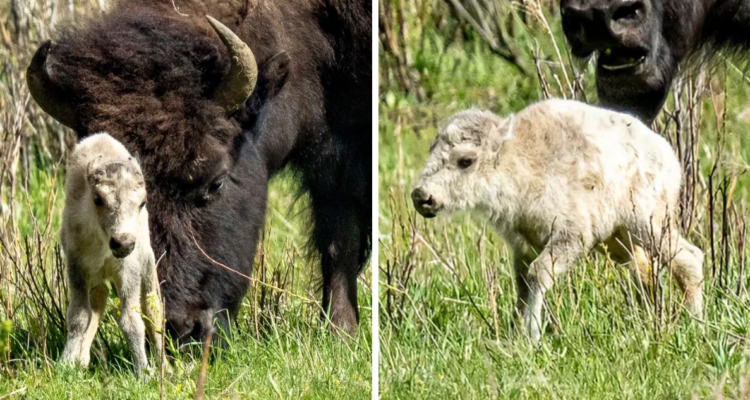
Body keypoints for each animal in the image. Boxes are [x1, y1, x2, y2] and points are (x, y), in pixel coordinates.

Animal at [27, 0, 371, 341]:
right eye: (98, 197)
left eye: (216, 182)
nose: (179, 329)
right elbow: (337, 238)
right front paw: (341, 332)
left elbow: (342, 240)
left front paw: (341, 333)